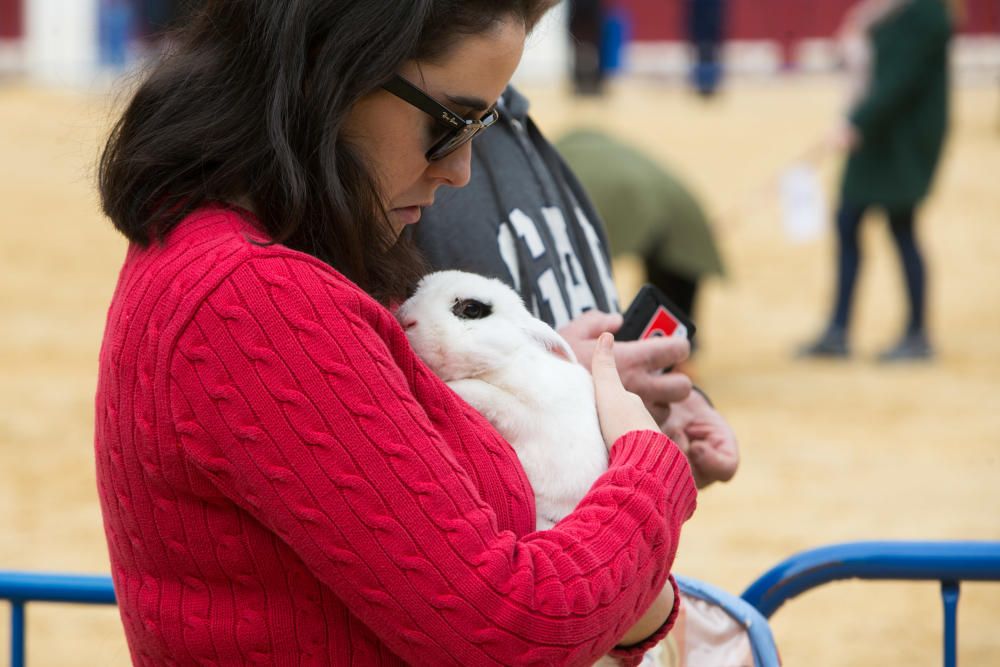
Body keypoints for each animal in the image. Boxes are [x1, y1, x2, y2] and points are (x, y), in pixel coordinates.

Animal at [394, 272, 604, 532]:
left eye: (472, 309)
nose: (405, 319)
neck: (505, 361)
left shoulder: (523, 412)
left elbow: (484, 394)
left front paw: (452, 388)